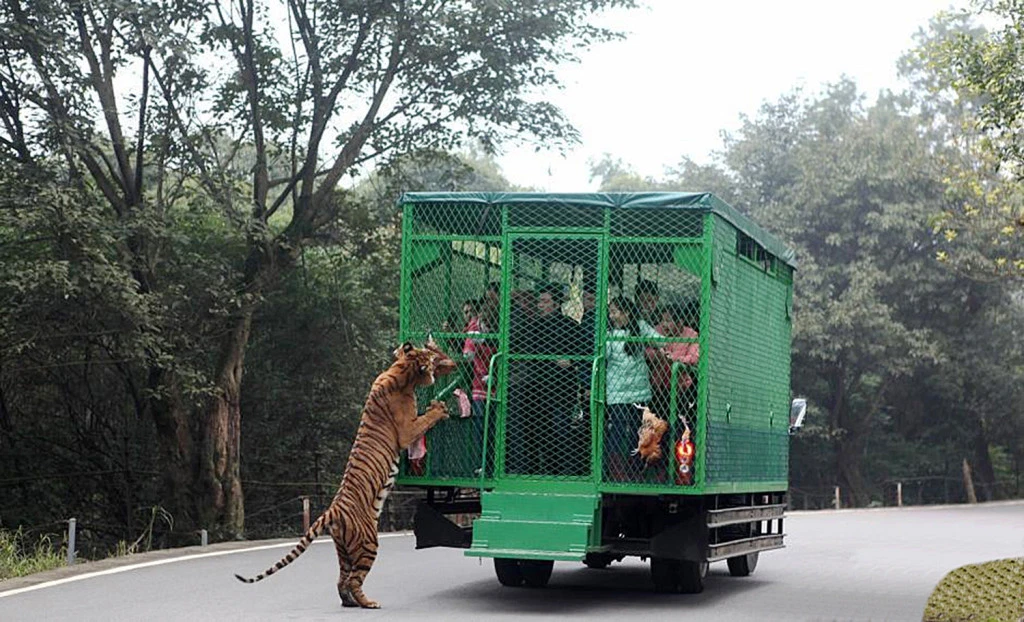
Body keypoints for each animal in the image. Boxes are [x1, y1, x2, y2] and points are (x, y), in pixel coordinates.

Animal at [235, 338, 456, 610]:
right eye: (430, 359)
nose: (437, 358)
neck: (402, 371)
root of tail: (332, 511)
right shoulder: (407, 431)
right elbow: (425, 420)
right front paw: (439, 408)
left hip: (344, 548)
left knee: (341, 579)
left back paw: (349, 602)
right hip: (368, 543)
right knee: (353, 580)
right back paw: (369, 603)